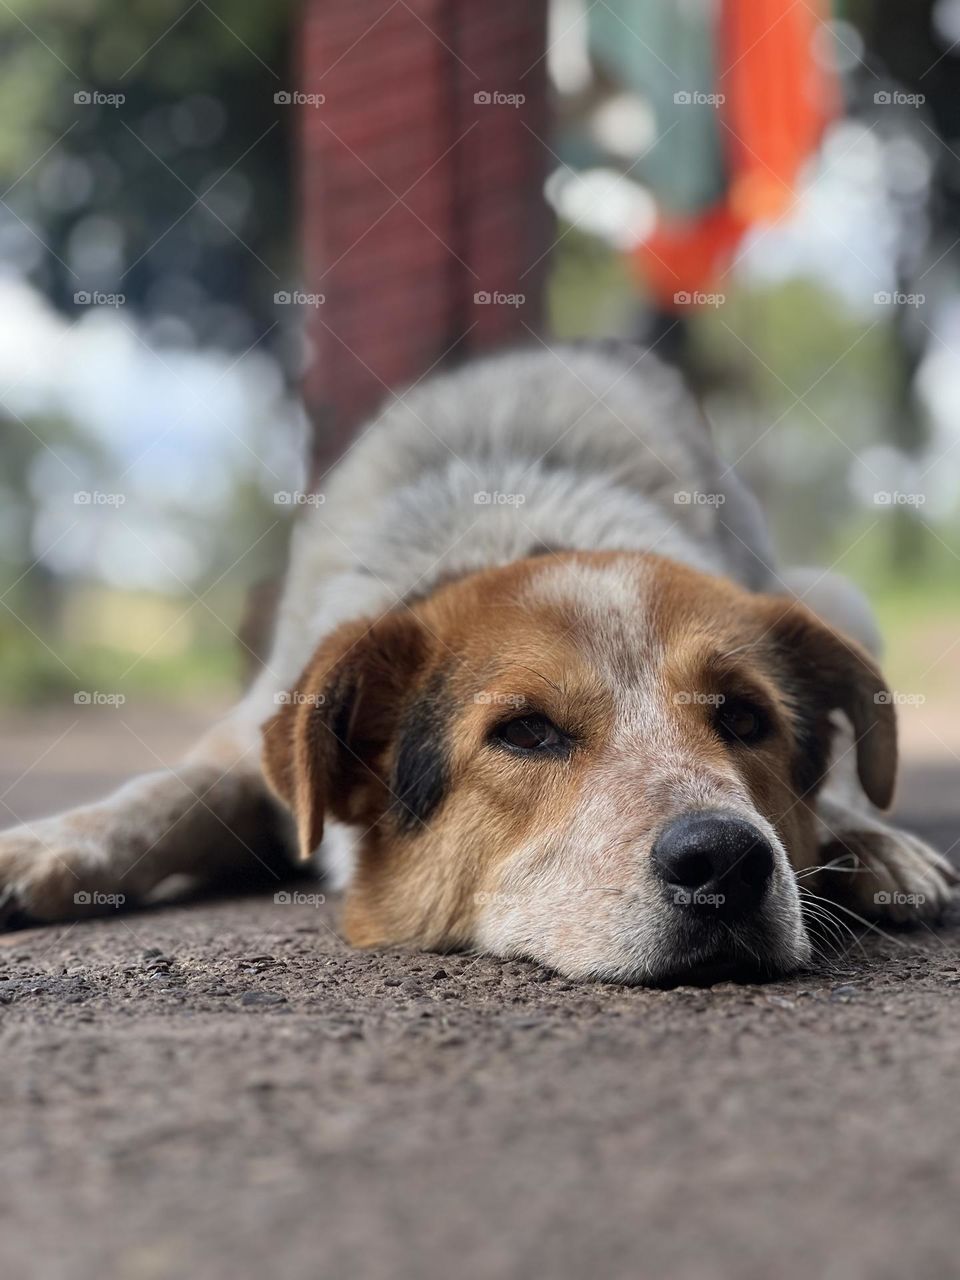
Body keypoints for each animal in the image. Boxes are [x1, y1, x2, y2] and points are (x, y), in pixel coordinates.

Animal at [0, 345, 957, 983]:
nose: (724, 859)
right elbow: (161, 796)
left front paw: (866, 840)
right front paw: (44, 847)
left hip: (835, 594)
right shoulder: (251, 734)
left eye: (747, 718)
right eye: (525, 732)